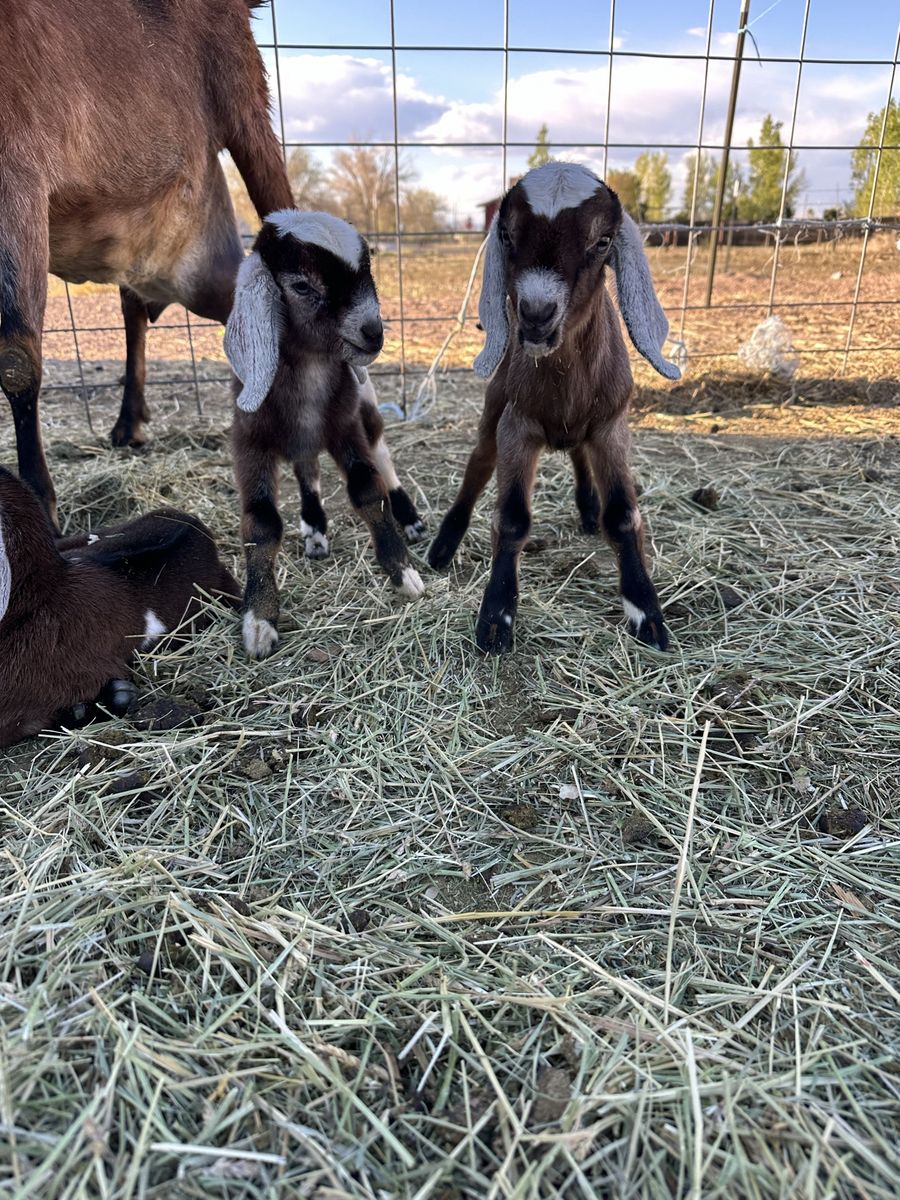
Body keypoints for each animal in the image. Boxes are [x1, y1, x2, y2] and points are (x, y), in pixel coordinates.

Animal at [0, 0, 293, 528]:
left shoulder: (17, 169)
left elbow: (15, 360)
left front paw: (39, 504)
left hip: (244, 98)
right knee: (144, 310)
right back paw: (129, 423)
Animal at [224, 210, 427, 660]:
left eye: (368, 271)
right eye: (302, 285)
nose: (374, 331)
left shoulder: (346, 427)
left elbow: (369, 490)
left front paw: (402, 571)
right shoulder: (249, 440)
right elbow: (261, 523)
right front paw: (260, 620)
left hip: (367, 407)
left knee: (383, 457)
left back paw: (410, 519)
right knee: (307, 470)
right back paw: (315, 528)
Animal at [427, 161, 681, 655]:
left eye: (603, 241)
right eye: (507, 235)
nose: (536, 314)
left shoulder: (611, 426)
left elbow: (623, 516)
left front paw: (646, 613)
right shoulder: (517, 426)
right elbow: (511, 519)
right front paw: (496, 619)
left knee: (578, 454)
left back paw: (586, 509)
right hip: (495, 406)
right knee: (478, 464)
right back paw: (443, 546)